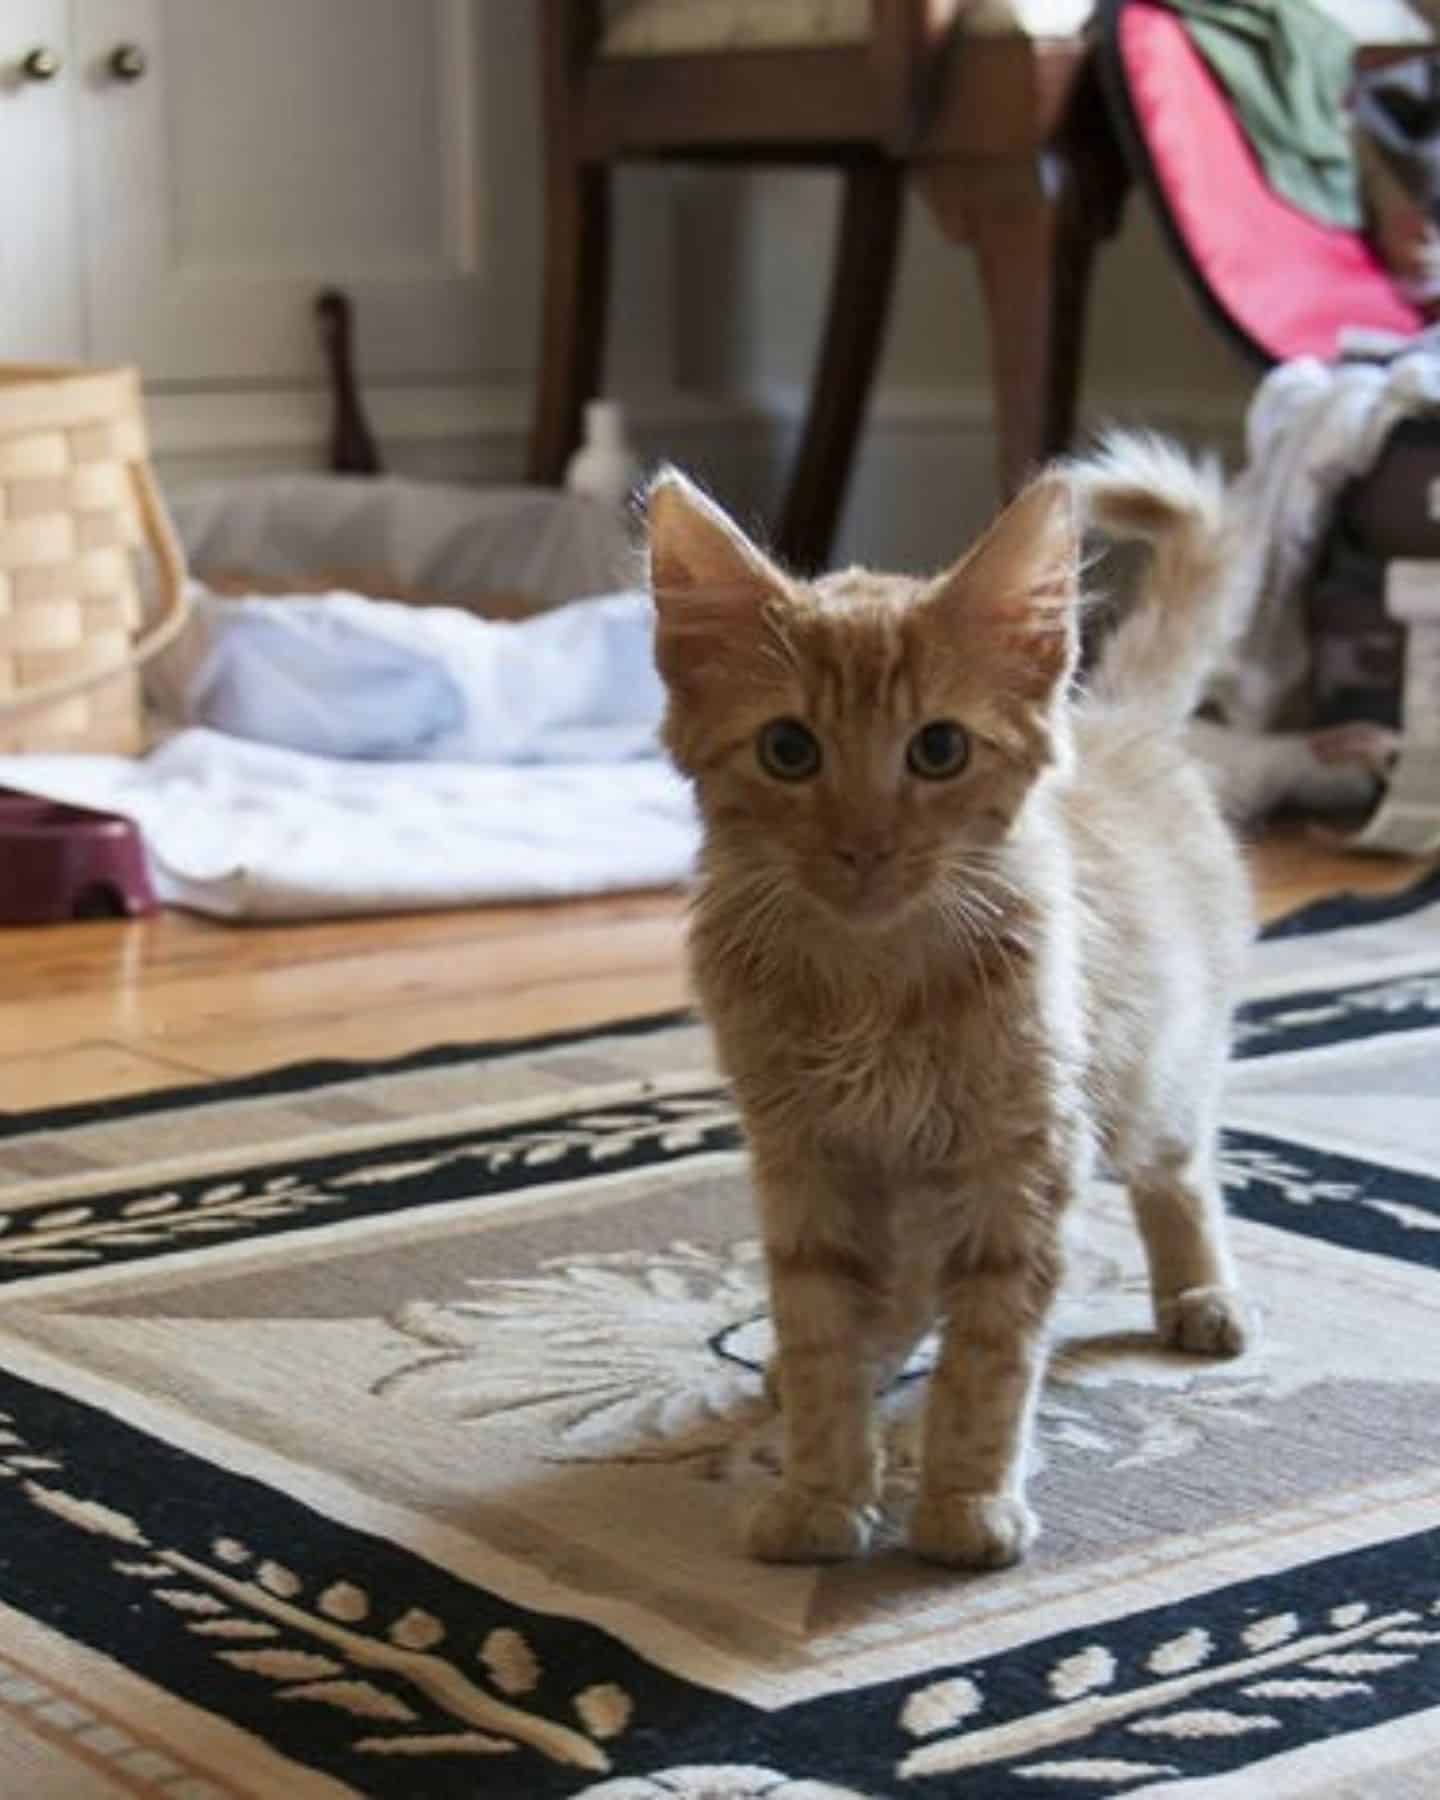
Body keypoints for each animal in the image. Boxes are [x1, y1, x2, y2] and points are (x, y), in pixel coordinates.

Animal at [648, 432, 1252, 1562]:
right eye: (789, 749)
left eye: (938, 749)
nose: (864, 846)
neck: (871, 987)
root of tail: (1118, 721)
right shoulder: (804, 1156)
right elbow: (823, 1325)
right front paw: (822, 1494)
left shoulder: (1024, 1158)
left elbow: (988, 1355)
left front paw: (964, 1505)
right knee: (900, 1291)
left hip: (1145, 1085)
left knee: (1182, 1172)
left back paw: (1200, 1293)